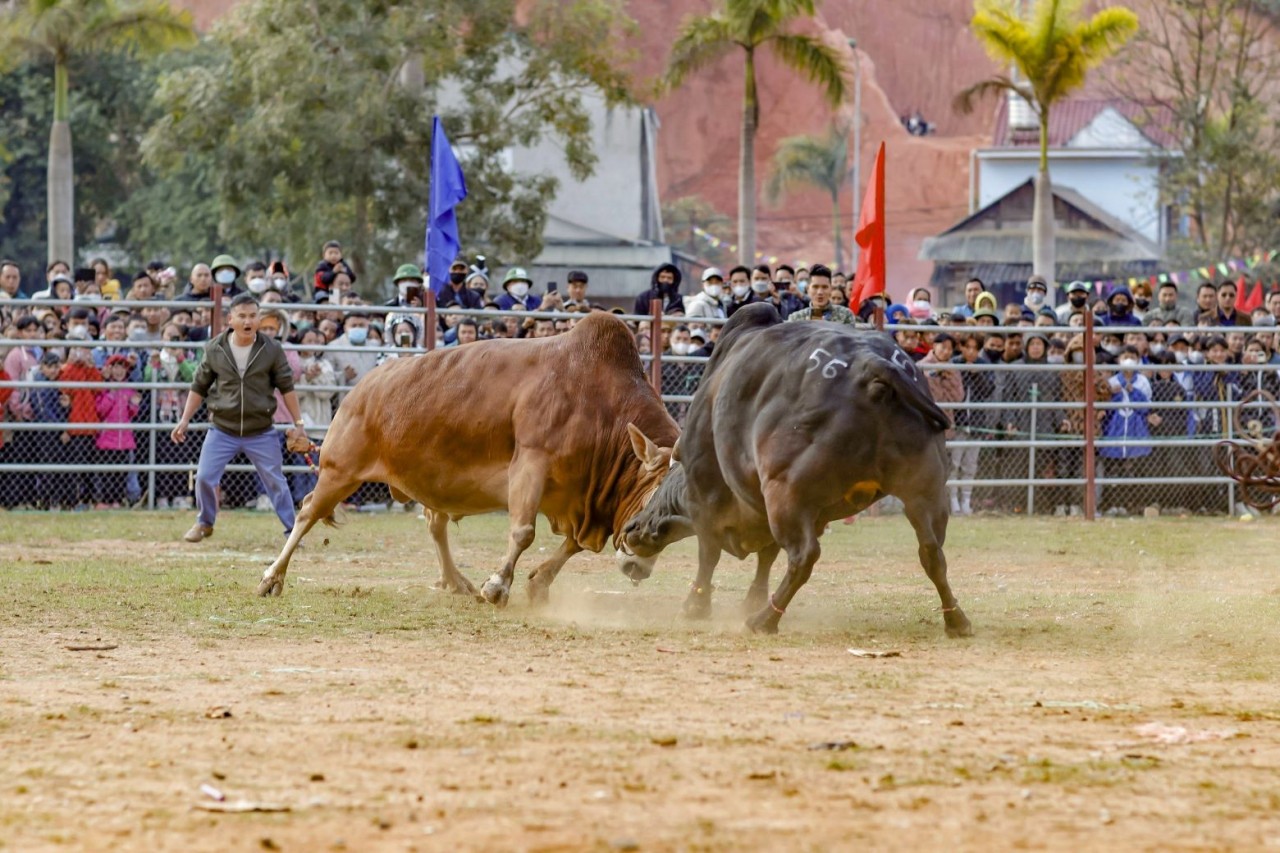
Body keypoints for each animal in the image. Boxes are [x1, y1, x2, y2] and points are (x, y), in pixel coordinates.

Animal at [254, 308, 686, 601]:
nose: (638, 567)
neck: (599, 405)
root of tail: (364, 387)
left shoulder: (581, 501)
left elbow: (572, 545)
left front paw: (537, 582)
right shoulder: (531, 463)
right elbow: (523, 531)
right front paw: (497, 585)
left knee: (435, 524)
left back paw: (455, 580)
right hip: (339, 470)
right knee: (307, 511)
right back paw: (272, 577)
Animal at [619, 302, 967, 635]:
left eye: (660, 483)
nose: (630, 528)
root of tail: (872, 365)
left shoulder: (706, 498)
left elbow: (710, 553)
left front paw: (696, 606)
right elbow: (766, 555)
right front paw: (752, 599)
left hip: (786, 493)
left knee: (804, 555)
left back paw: (765, 620)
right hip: (924, 491)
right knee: (932, 552)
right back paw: (956, 618)